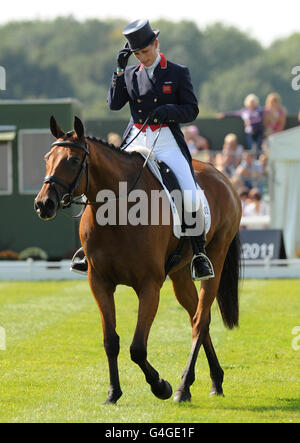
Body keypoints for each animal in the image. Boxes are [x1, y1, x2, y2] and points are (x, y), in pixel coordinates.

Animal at [34, 117, 241, 406]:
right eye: (47, 158)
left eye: (74, 160)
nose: (44, 204)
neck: (117, 210)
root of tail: (221, 175)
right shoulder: (99, 283)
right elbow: (111, 341)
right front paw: (113, 393)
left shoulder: (149, 286)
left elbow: (137, 348)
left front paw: (161, 386)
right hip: (179, 275)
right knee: (199, 318)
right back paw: (213, 381)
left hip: (217, 258)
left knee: (200, 321)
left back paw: (182, 387)